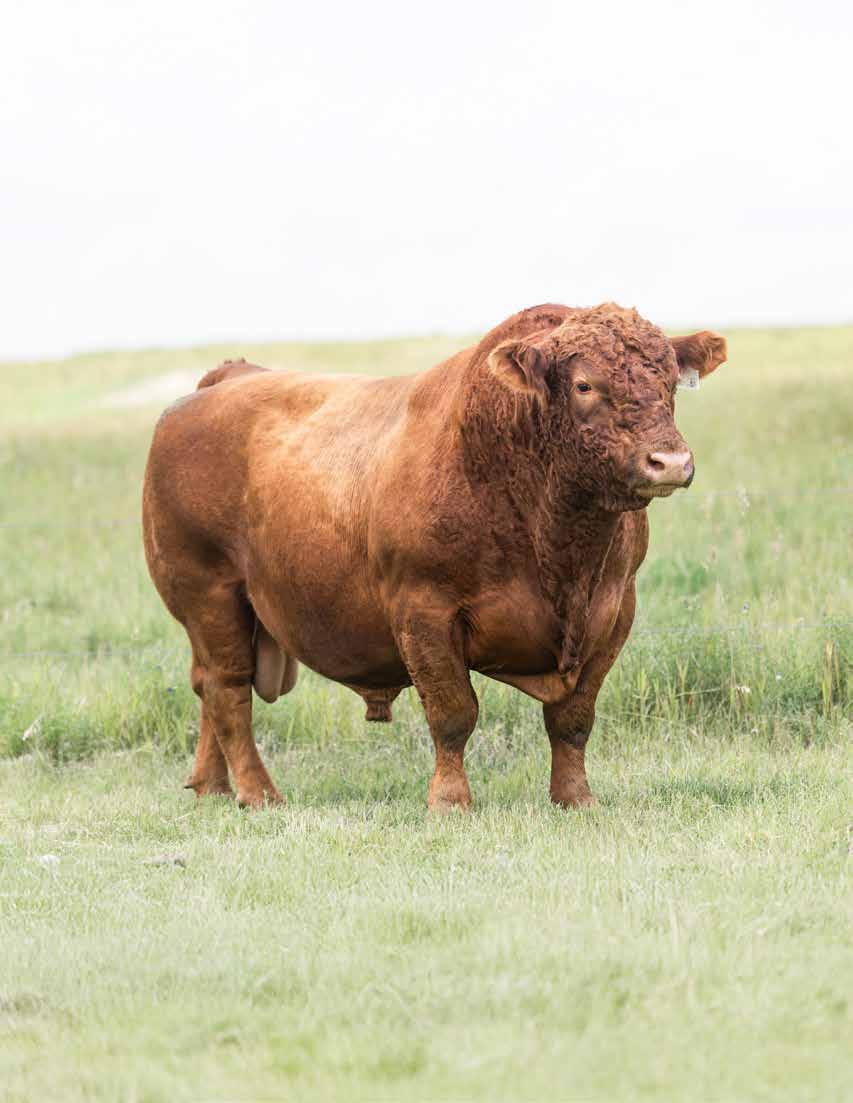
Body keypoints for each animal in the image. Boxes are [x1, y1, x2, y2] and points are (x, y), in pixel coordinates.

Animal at [142, 303, 727, 811]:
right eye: (585, 385)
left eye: (669, 380)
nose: (670, 461)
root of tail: (228, 378)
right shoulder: (424, 613)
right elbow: (453, 713)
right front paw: (449, 801)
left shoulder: (614, 612)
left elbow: (573, 718)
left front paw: (574, 798)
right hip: (210, 594)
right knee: (227, 690)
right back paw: (258, 793)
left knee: (208, 686)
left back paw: (213, 787)